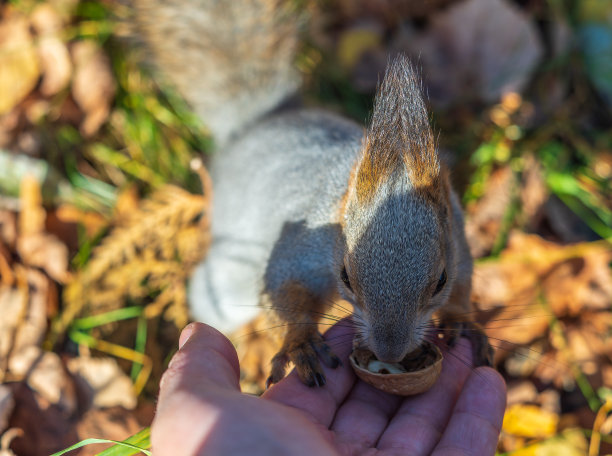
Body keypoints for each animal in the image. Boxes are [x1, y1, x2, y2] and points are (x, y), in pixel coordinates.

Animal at [129, 0, 492, 388]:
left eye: (440, 281)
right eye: (345, 276)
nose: (390, 353)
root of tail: (258, 125)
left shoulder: (457, 236)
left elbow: (464, 280)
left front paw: (460, 319)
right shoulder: (306, 242)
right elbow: (284, 284)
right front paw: (300, 342)